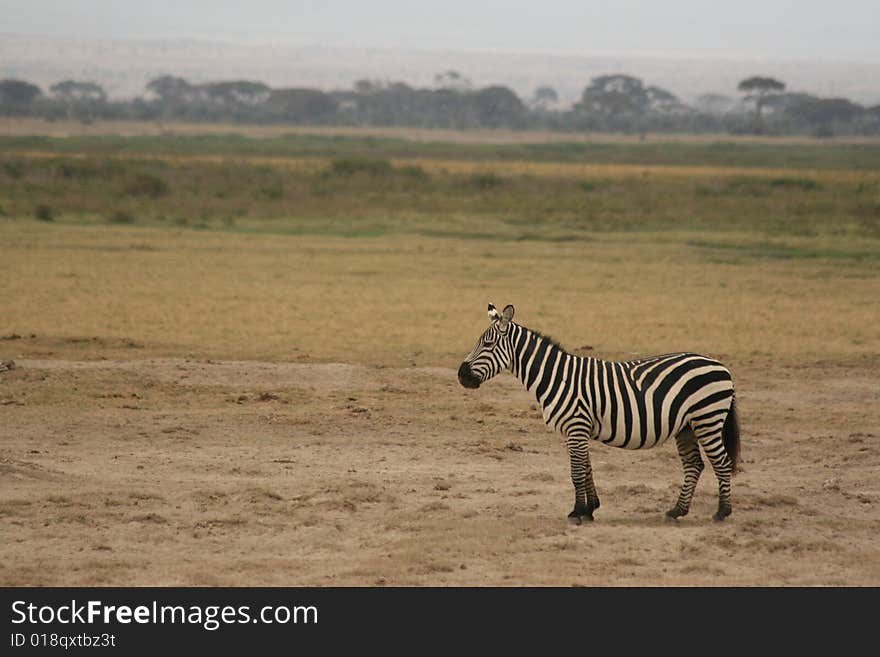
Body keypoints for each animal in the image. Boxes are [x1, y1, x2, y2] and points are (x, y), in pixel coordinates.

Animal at [458, 302, 740, 524]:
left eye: (487, 344)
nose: (461, 375)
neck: (557, 377)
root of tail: (720, 365)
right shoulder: (577, 429)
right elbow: (587, 469)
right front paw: (590, 509)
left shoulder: (576, 425)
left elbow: (576, 471)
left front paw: (577, 512)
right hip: (687, 426)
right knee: (694, 465)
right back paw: (677, 511)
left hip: (707, 419)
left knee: (722, 462)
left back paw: (722, 512)